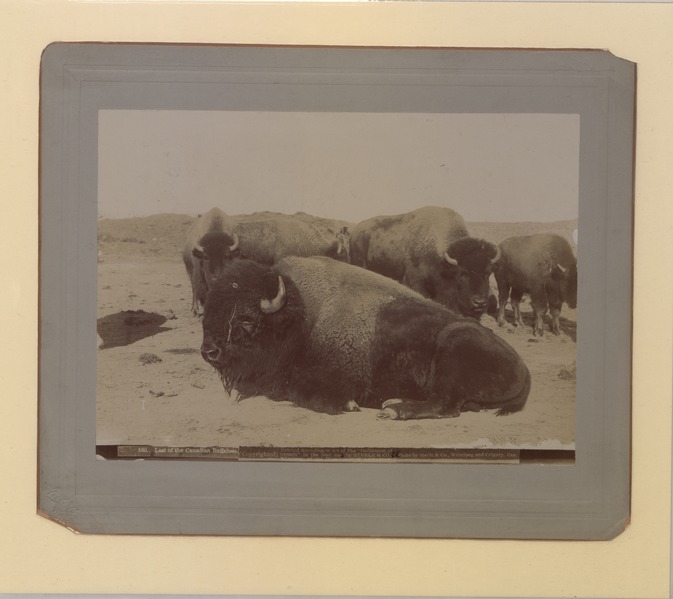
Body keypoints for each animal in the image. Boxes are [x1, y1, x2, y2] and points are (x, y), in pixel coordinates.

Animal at [200, 255, 532, 420]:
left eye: (246, 318)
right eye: (208, 313)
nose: (209, 352)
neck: (304, 317)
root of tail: (523, 366)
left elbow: (304, 393)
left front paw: (348, 405)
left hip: (453, 346)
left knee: (446, 407)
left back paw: (393, 410)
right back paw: (393, 402)